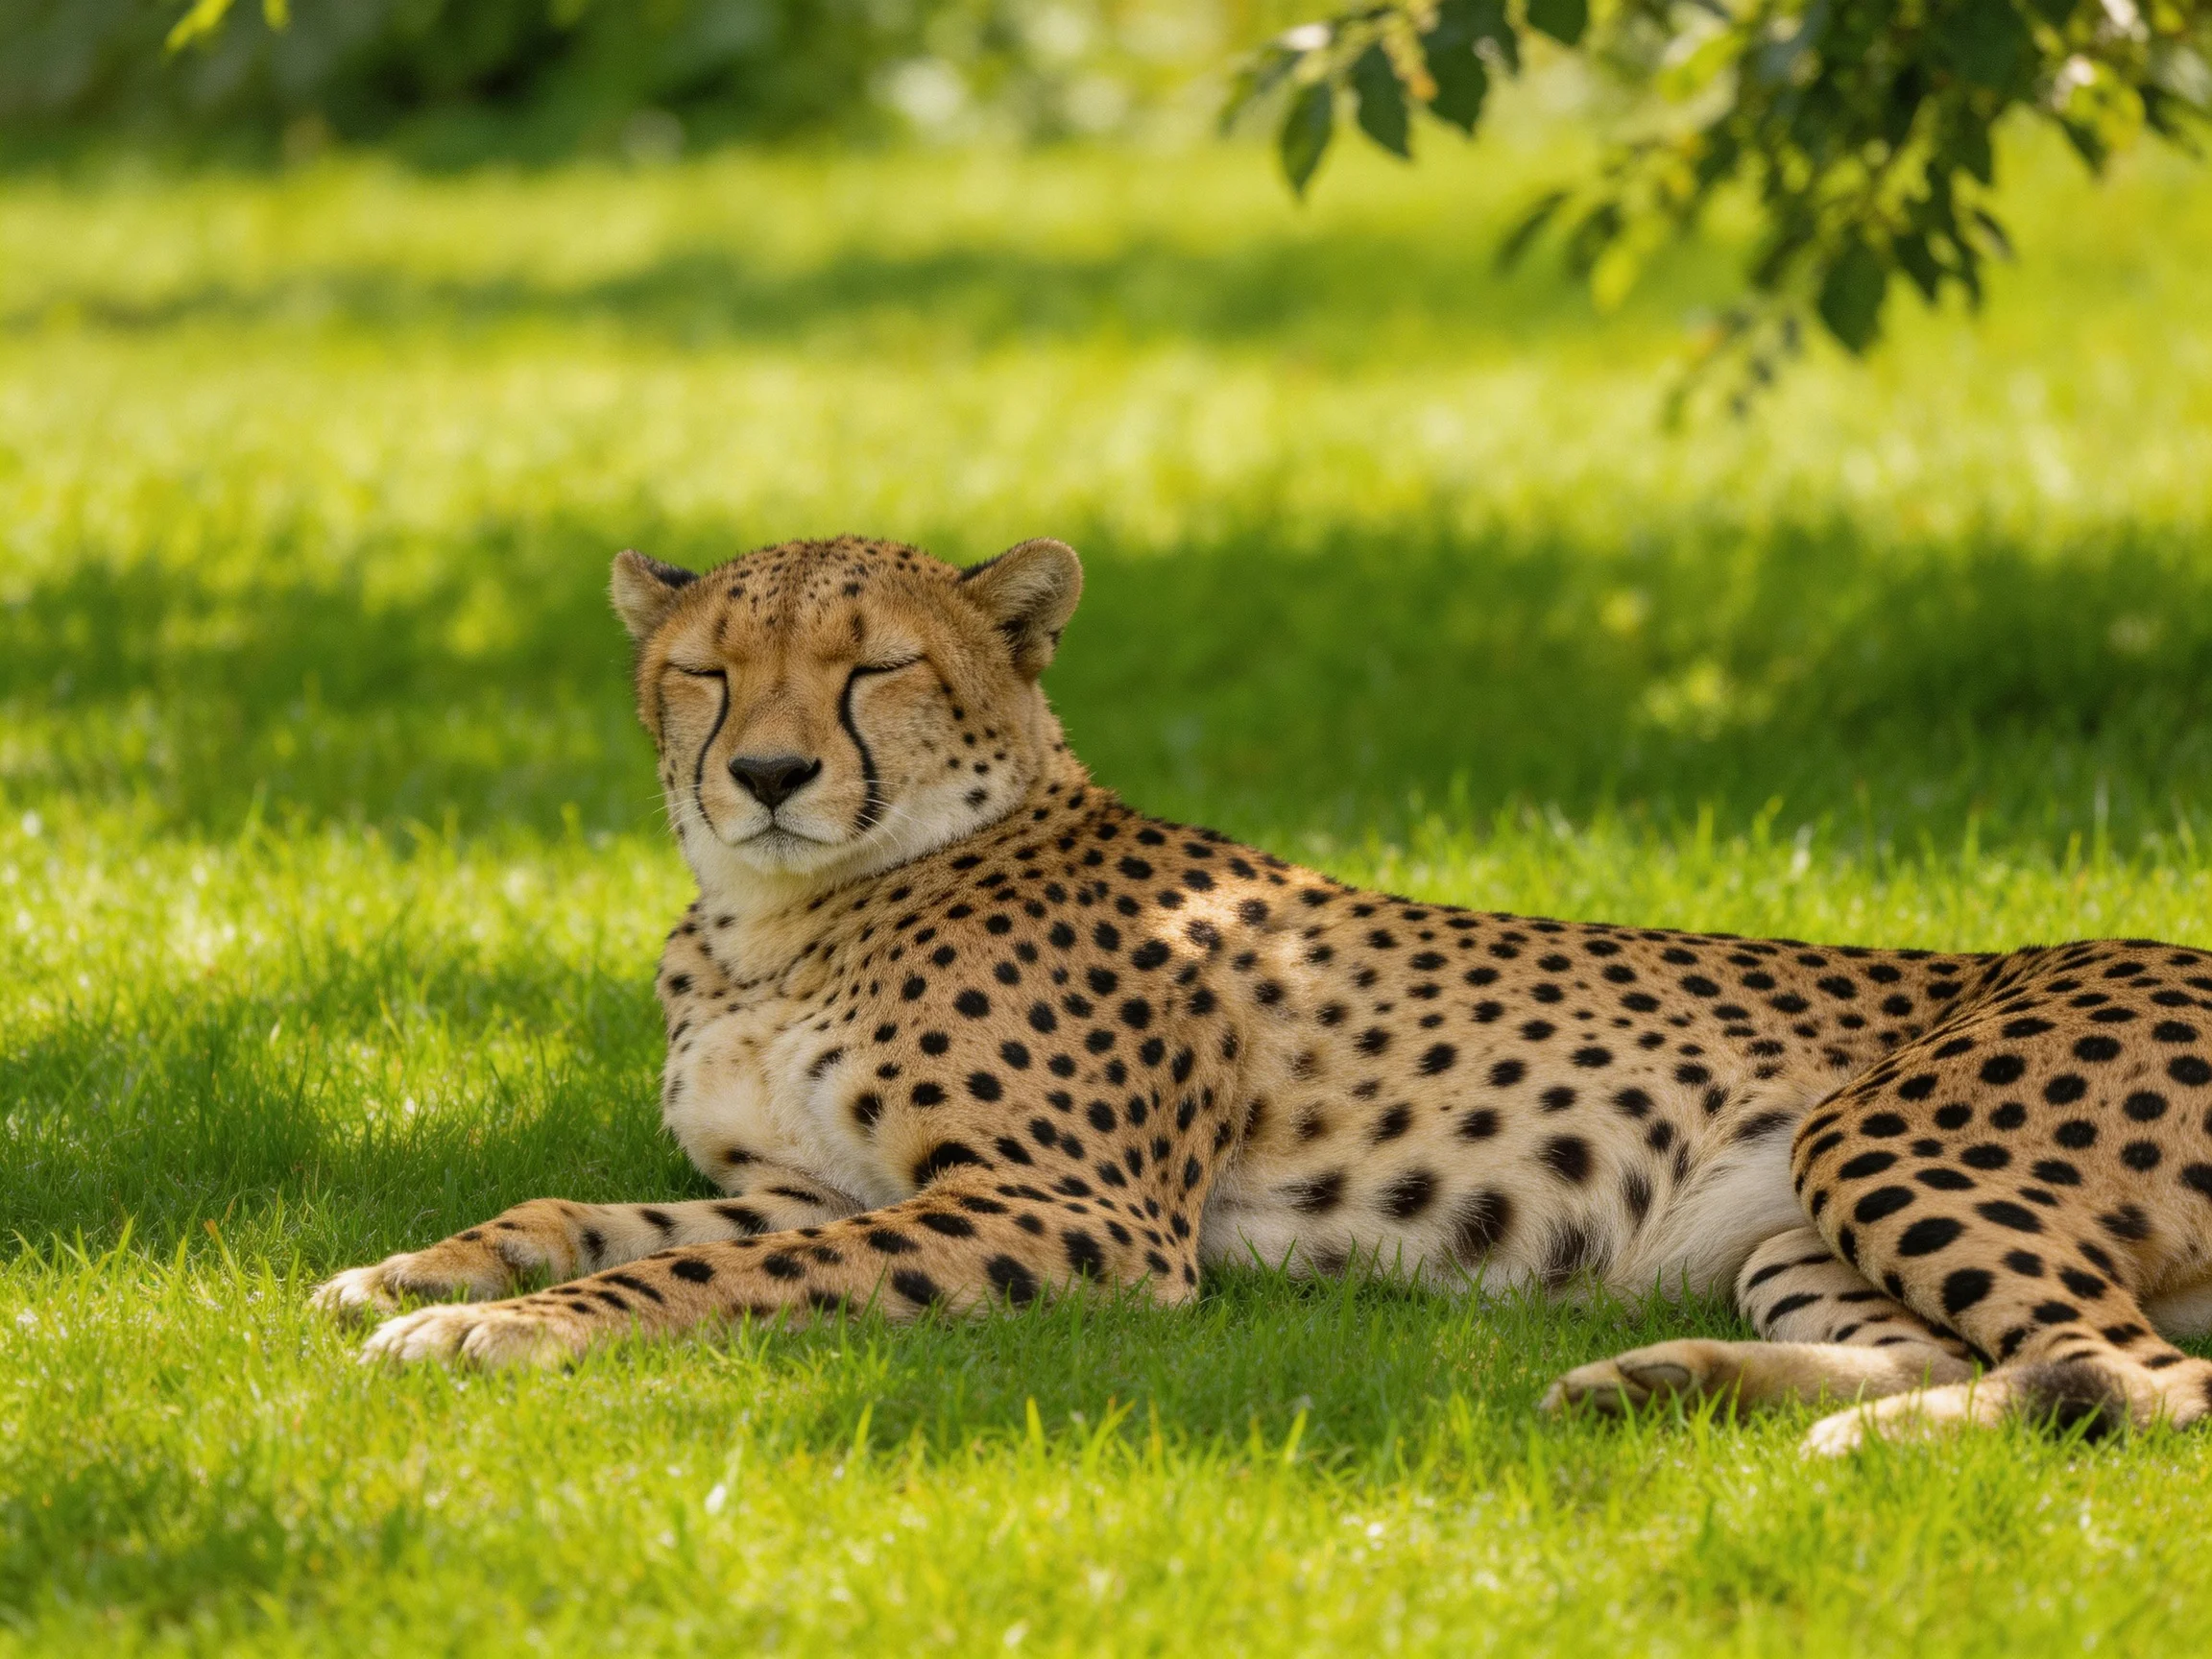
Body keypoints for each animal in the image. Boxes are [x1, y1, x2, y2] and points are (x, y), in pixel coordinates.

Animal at [315, 533, 2212, 1455]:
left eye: (877, 670)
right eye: (708, 671)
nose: (767, 774)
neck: (781, 918)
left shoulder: (1073, 1212)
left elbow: (715, 1279)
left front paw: (497, 1335)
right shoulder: (813, 1184)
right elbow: (592, 1214)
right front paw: (422, 1271)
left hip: (1875, 1136)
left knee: (2132, 1381)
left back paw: (1816, 1445)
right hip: (1792, 1222)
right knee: (2028, 1361)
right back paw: (1674, 1389)